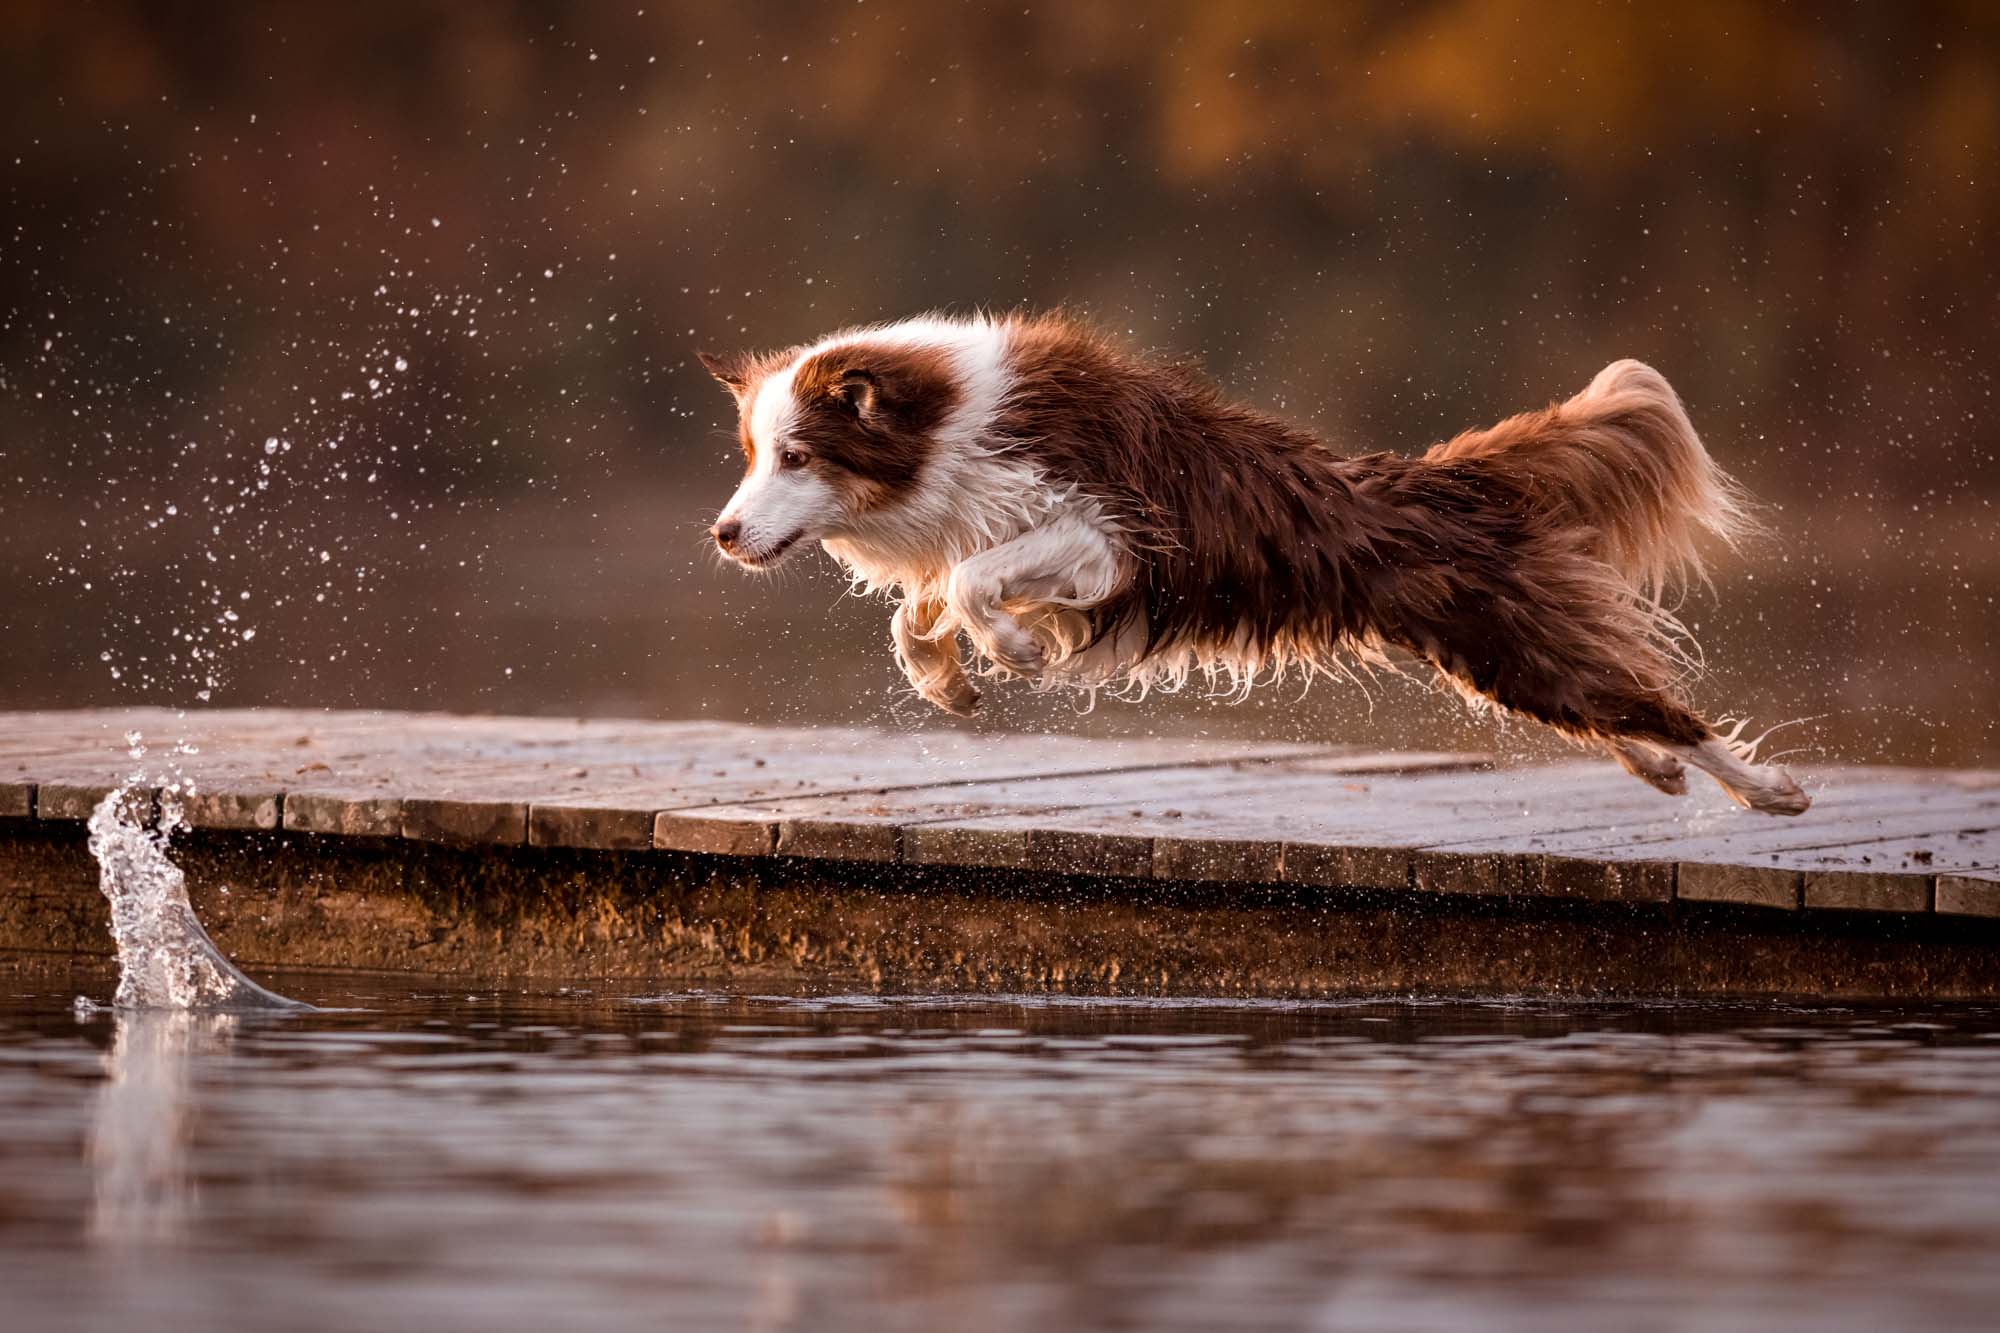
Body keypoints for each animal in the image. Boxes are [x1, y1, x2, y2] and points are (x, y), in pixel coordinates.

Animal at [704, 314, 1816, 808]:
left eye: (798, 456)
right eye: (754, 454)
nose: (721, 534)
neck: (944, 426)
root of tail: (1444, 480)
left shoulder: (1111, 533)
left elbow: (980, 583)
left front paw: (1014, 652)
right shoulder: (974, 530)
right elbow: (921, 606)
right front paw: (948, 682)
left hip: (1512, 636)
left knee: (1652, 701)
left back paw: (1766, 790)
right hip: (1493, 653)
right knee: (1619, 709)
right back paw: (1661, 770)